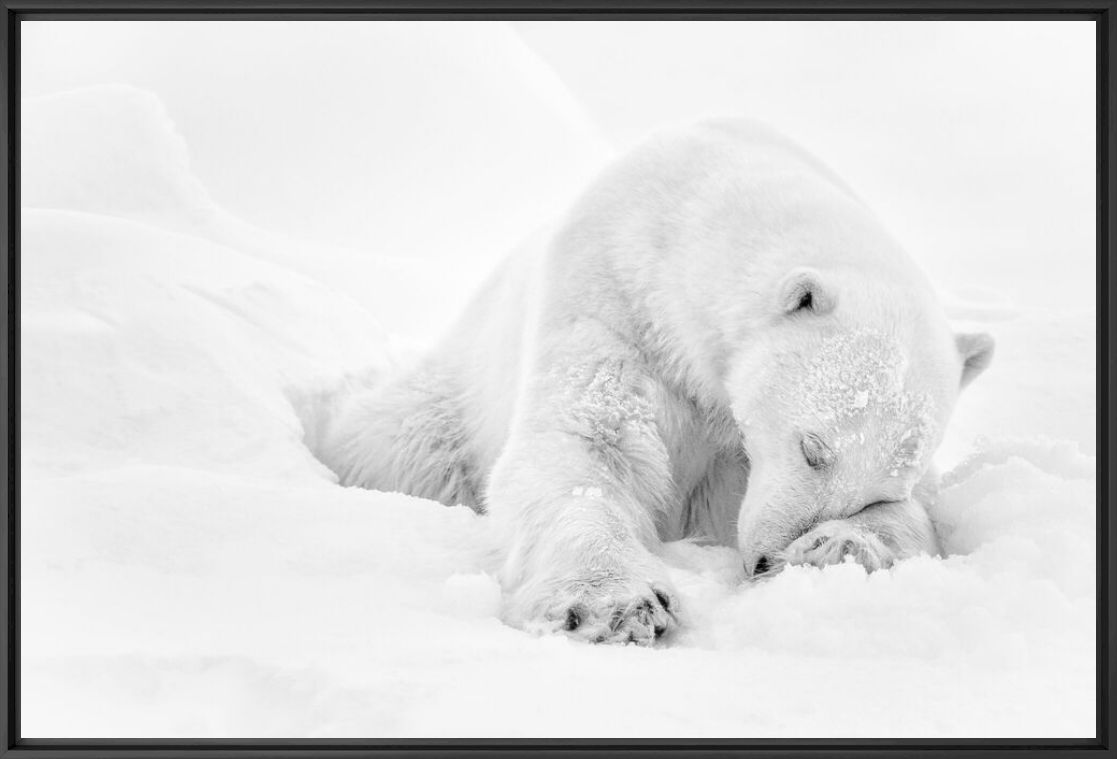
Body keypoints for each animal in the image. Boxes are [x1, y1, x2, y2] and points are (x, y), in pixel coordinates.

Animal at [317, 118, 996, 648]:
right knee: (395, 440)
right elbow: (585, 449)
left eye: (882, 488)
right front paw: (616, 606)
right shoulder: (611, 306)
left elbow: (919, 516)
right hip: (446, 404)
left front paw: (836, 548)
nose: (766, 561)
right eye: (812, 448)